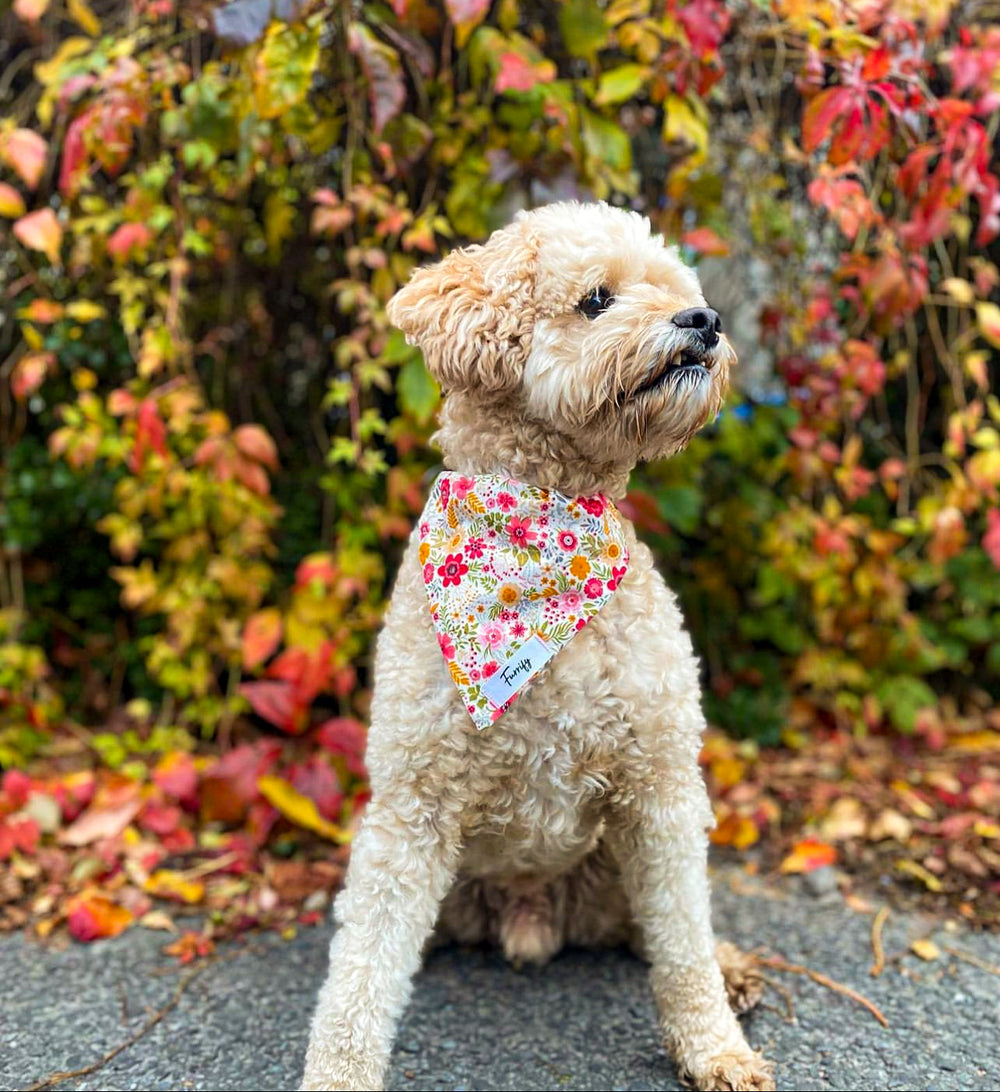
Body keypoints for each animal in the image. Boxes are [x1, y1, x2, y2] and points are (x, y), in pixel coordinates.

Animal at [303, 205, 772, 1092]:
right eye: (596, 299)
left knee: (664, 928)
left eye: (673, 288)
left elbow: (683, 941)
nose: (705, 321)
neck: (541, 521)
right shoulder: (410, 812)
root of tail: (532, 914)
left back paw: (735, 968)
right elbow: (361, 970)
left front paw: (716, 1048)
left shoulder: (658, 789)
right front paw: (337, 1074)